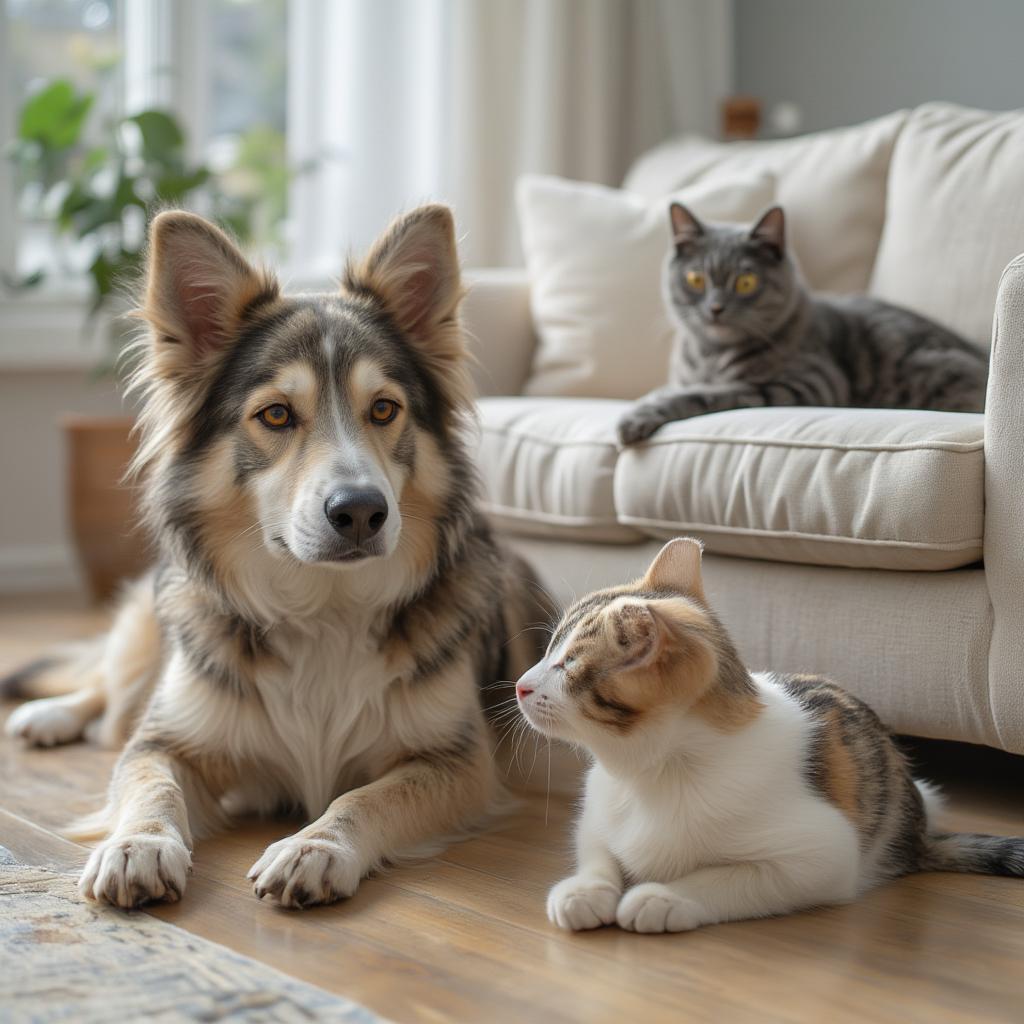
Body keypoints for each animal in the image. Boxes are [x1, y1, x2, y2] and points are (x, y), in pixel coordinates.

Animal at [2, 203, 544, 909]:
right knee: (107, 692)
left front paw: (316, 848)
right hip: (147, 631)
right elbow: (150, 781)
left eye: (384, 409)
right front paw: (137, 845)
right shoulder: (166, 739)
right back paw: (52, 714)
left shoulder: (455, 759)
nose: (361, 511)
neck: (323, 605)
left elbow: (367, 796)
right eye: (278, 415)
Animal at [520, 540, 1024, 933]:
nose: (521, 684)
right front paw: (584, 890)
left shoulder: (822, 856)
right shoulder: (596, 812)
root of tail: (919, 832)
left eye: (567, 665)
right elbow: (596, 847)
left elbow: (728, 879)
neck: (650, 771)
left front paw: (663, 897)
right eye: (549, 651)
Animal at [614, 205, 991, 446]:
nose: (715, 308)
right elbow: (670, 388)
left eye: (746, 282)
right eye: (695, 279)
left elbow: (703, 393)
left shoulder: (806, 382)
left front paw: (636, 417)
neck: (710, 355)